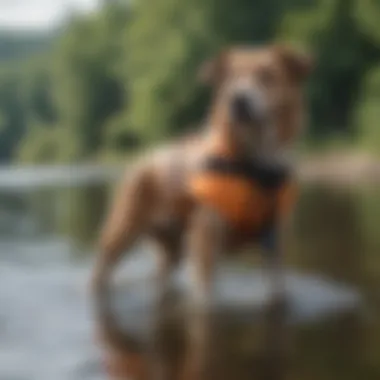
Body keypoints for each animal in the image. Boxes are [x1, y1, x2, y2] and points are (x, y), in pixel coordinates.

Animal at [90, 42, 314, 308]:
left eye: (267, 75)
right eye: (230, 79)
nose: (237, 99)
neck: (253, 166)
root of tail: (147, 156)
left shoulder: (276, 240)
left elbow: (278, 289)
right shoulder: (206, 237)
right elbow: (206, 296)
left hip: (172, 247)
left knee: (160, 276)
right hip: (122, 230)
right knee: (102, 268)